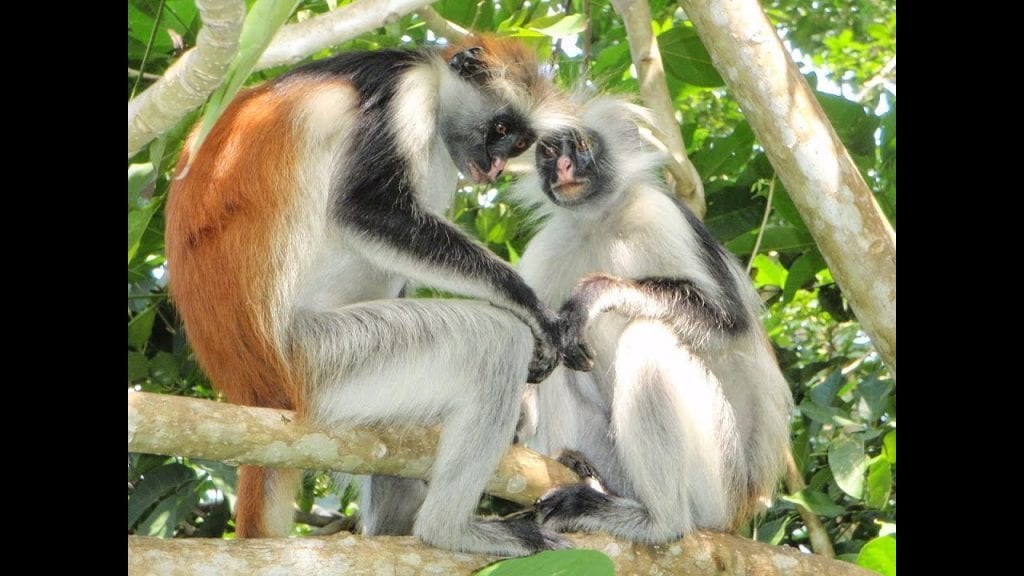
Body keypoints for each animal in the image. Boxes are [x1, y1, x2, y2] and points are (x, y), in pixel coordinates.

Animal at [163, 36, 573, 557]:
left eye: (518, 143)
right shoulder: (405, 92)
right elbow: (367, 208)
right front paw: (530, 307)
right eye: (499, 129)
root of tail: (253, 388)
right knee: (494, 343)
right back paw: (448, 531)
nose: (499, 165)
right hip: (323, 356)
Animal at [516, 96, 794, 541]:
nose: (563, 167)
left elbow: (729, 324)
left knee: (647, 337)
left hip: (718, 480)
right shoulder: (547, 247)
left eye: (580, 145)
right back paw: (579, 468)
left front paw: (597, 294)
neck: (600, 221)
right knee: (560, 355)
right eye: (547, 152)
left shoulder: (660, 213)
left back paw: (659, 521)